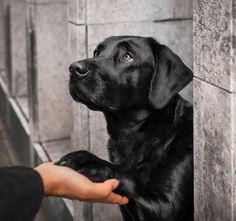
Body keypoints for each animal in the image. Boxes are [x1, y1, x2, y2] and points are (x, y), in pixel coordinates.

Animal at [56, 35, 193, 220]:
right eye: (96, 52)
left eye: (127, 57)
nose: (74, 68)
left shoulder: (166, 208)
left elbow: (128, 177)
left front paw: (87, 161)